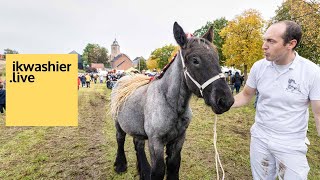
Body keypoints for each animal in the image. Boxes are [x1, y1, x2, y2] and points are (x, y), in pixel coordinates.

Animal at [111, 22, 234, 180]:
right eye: (195, 60)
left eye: (217, 58)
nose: (225, 100)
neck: (172, 105)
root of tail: (123, 79)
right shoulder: (156, 142)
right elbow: (158, 171)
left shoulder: (178, 140)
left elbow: (174, 166)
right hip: (118, 123)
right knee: (120, 139)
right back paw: (120, 165)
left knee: (138, 144)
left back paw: (143, 170)